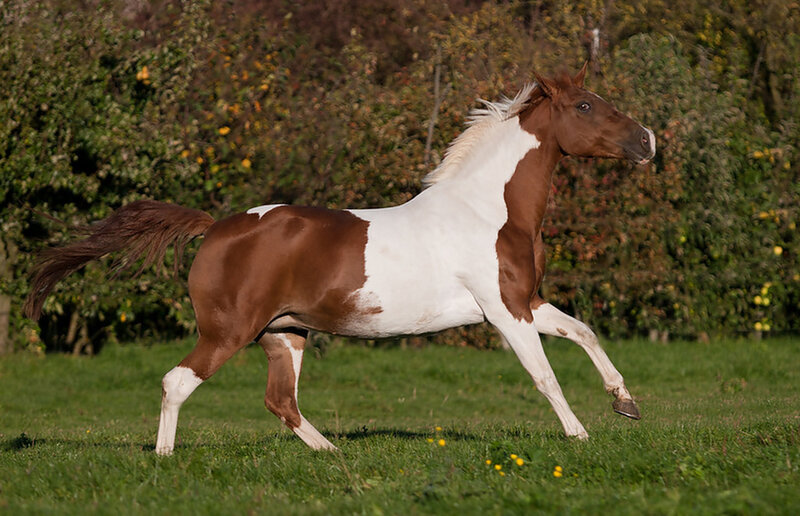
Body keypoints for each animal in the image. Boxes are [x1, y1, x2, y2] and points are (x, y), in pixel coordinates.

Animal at [24, 63, 655, 455]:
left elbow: (584, 331)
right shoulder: (505, 312)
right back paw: (164, 458)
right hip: (229, 331)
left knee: (280, 400)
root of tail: (217, 227)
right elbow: (544, 374)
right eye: (586, 105)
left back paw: (329, 451)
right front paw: (579, 435)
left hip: (285, 333)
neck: (486, 210)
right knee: (178, 381)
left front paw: (626, 404)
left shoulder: (527, 301)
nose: (648, 141)